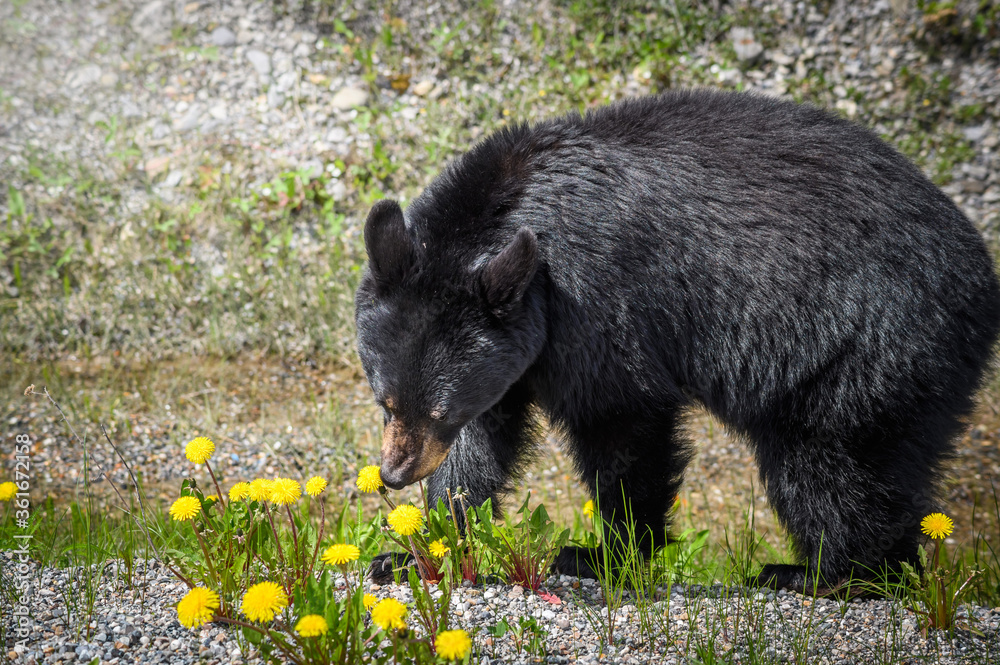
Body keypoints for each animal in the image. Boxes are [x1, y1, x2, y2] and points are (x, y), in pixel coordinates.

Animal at [354, 89, 1000, 592]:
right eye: (385, 403)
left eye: (438, 409)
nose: (394, 473)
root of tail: (980, 273)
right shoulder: (515, 348)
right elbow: (482, 443)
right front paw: (415, 551)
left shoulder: (597, 301)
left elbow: (622, 422)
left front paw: (602, 557)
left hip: (867, 344)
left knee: (835, 463)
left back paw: (824, 573)